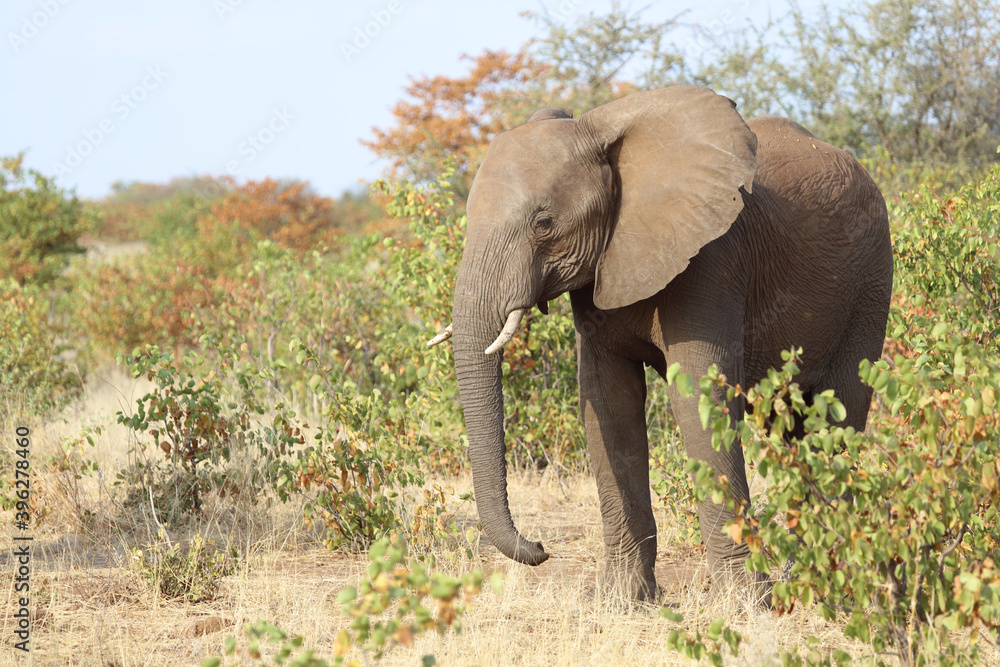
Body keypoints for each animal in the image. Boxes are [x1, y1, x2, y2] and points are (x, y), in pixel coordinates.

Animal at [428, 86, 892, 603]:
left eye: (543, 224)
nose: (542, 547)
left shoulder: (713, 257)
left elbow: (697, 400)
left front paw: (745, 603)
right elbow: (608, 405)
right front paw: (622, 600)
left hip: (870, 287)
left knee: (836, 418)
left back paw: (829, 586)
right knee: (791, 426)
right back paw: (801, 579)